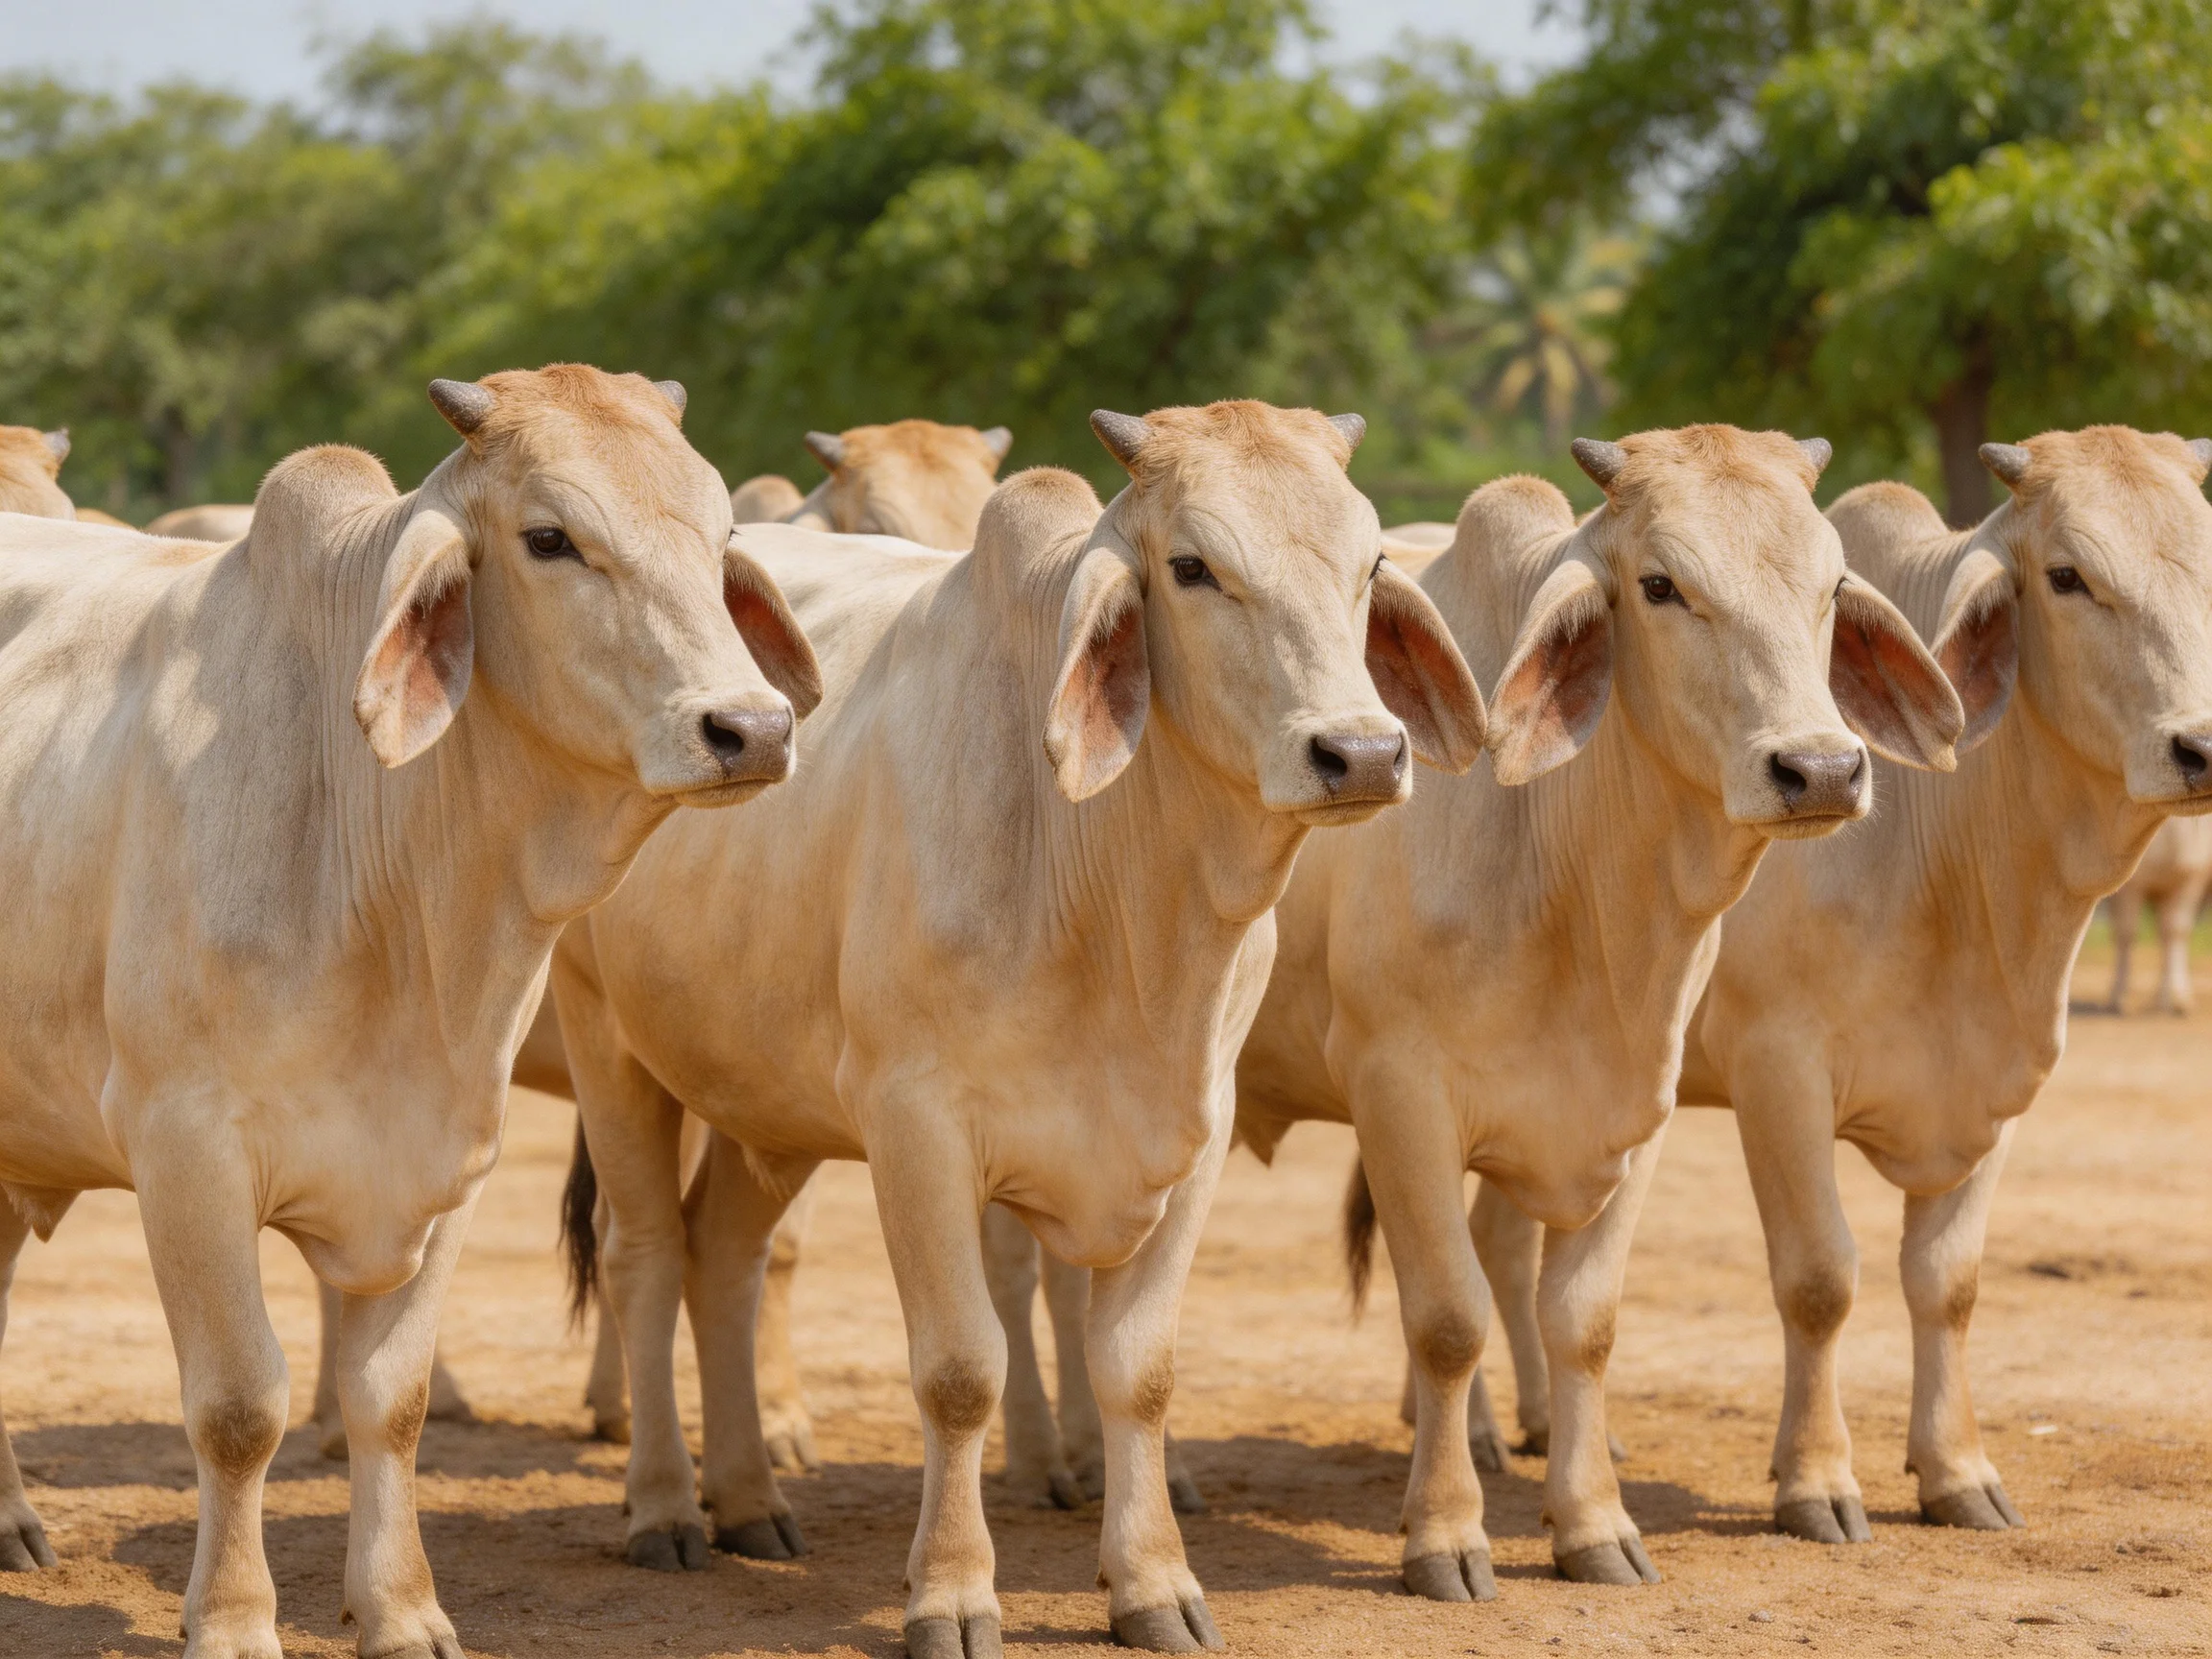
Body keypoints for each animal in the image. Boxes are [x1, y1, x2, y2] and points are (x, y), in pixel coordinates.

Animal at [0, 364, 820, 1659]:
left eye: (720, 531)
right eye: (549, 538)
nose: (751, 728)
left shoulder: (449, 1160)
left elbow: (393, 1401)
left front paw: (401, 1610)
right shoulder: (185, 1151)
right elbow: (240, 1406)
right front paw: (233, 1620)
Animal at [1232, 425, 1965, 1598]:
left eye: (1832, 584)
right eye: (1660, 585)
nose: (1820, 769)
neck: (1564, 865)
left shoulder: (1634, 1107)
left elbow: (1581, 1319)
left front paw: (1591, 1525)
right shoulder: (1398, 1092)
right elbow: (1447, 1318)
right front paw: (1445, 1536)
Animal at [2101, 816, 2212, 1013]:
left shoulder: (2191, 876)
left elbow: (2175, 932)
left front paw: (2175, 999)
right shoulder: (2129, 887)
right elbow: (2126, 933)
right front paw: (2120, 996)